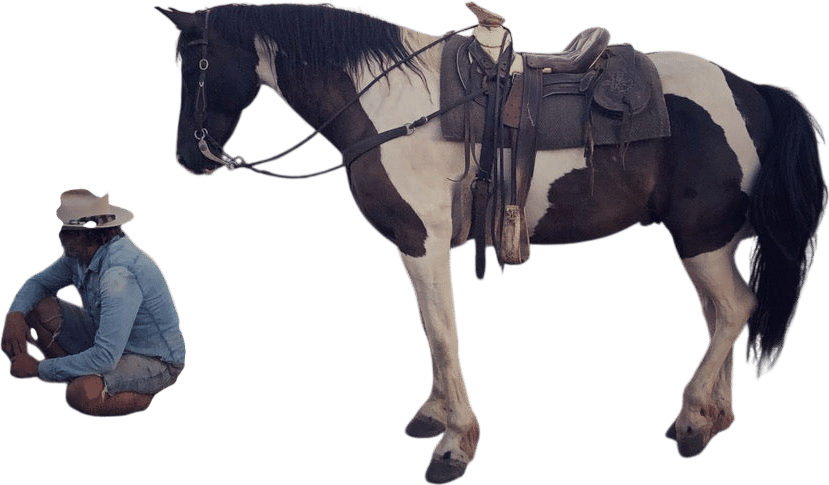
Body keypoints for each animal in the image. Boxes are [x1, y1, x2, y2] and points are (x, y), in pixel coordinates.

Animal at [154, 2, 827, 484]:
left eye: (192, 65)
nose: (188, 157)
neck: (390, 103)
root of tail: (753, 89)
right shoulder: (414, 247)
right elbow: (430, 331)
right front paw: (433, 415)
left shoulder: (422, 242)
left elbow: (444, 334)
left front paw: (455, 445)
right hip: (712, 243)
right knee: (720, 315)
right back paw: (715, 417)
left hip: (701, 240)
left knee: (735, 309)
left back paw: (691, 420)